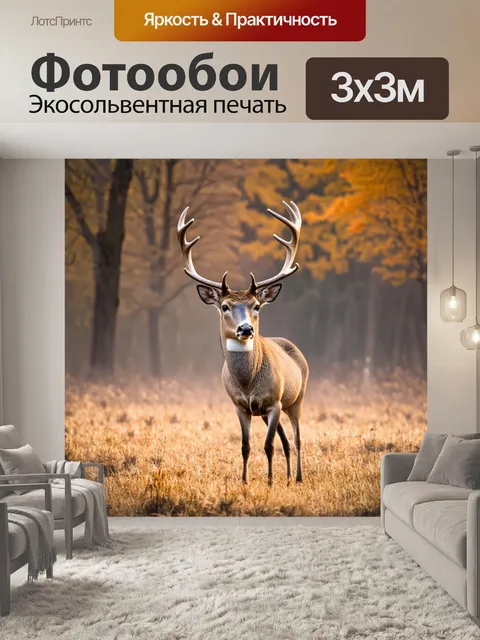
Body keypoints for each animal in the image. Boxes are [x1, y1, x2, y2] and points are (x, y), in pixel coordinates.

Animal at [177, 201, 308, 485]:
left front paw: (269, 482)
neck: (248, 384)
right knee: (285, 440)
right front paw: (245, 480)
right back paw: (288, 477)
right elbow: (246, 446)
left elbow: (268, 445)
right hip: (272, 410)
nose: (246, 328)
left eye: (256, 305)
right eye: (225, 306)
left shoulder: (274, 402)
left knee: (296, 439)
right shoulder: (240, 406)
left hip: (296, 398)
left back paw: (298, 477)